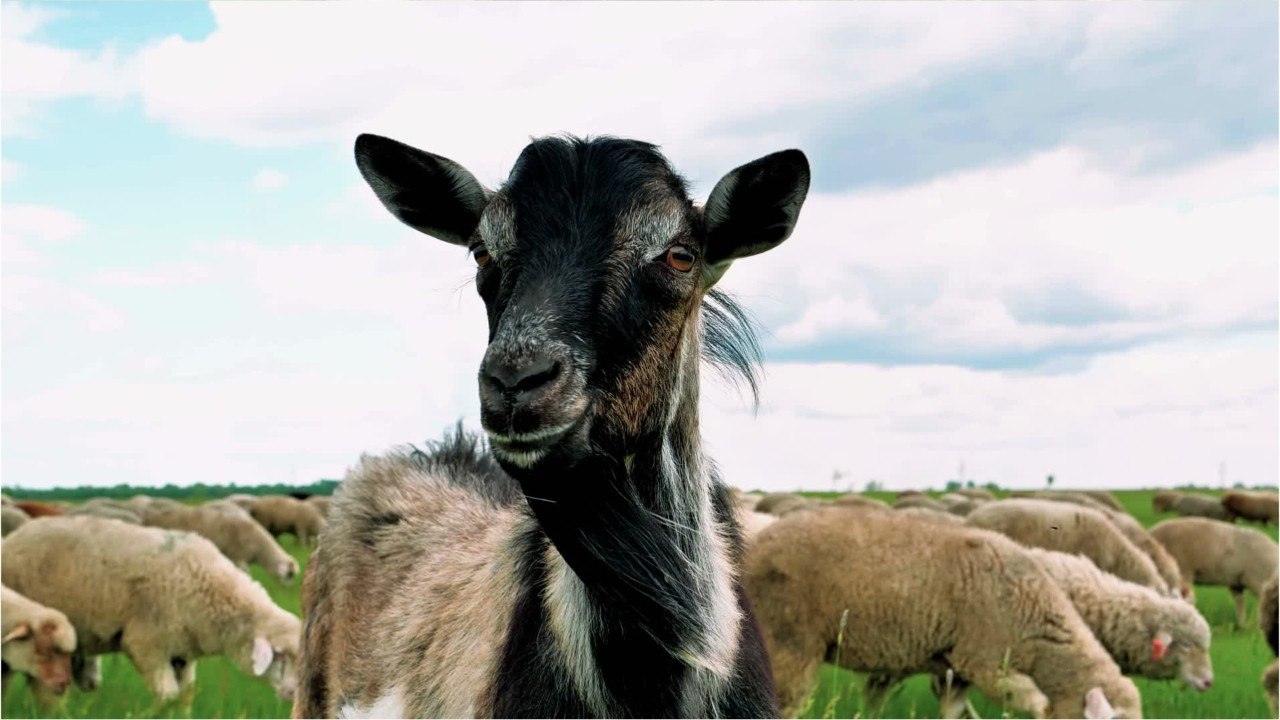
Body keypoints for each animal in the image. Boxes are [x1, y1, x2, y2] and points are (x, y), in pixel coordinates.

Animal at [1, 515, 301, 704]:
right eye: (280, 656)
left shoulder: (182, 652)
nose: (293, 695)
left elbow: (185, 696)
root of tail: (11, 539)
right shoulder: (147, 645)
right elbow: (167, 696)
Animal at [139, 502, 298, 583]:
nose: (288, 589)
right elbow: (245, 575)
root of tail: (148, 516)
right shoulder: (238, 558)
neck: (259, 549)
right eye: (289, 575)